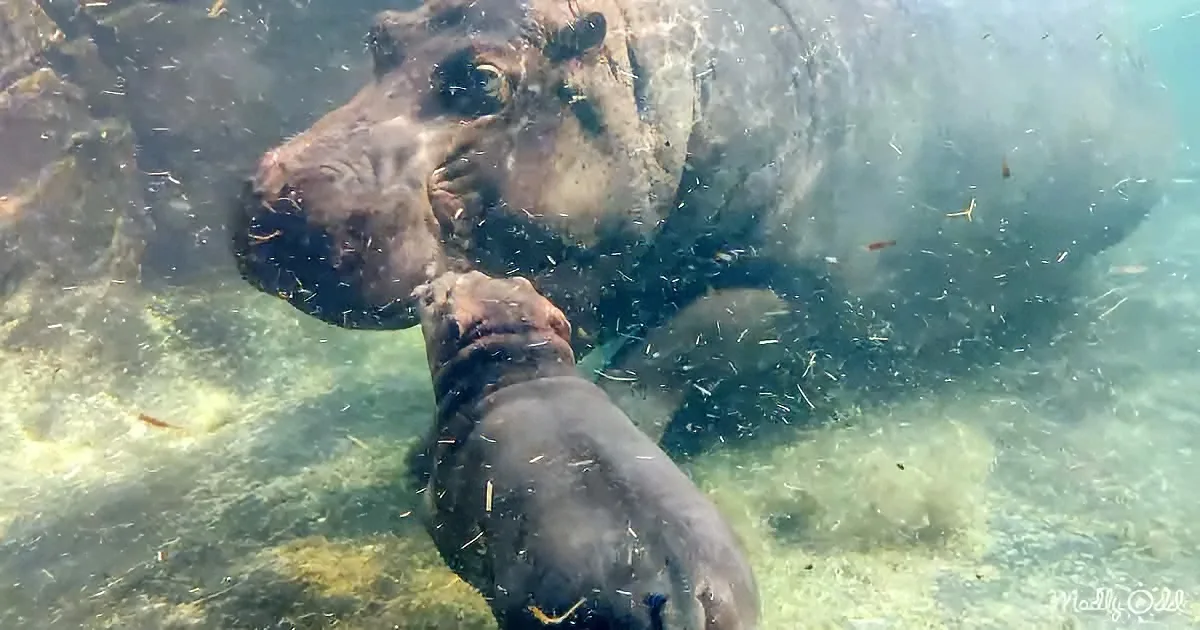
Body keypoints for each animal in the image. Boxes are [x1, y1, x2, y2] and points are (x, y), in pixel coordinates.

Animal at [231, 0, 1174, 441]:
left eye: (484, 80)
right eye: (380, 34)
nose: (280, 197)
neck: (662, 72)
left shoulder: (802, 290)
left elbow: (680, 347)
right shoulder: (611, 261)